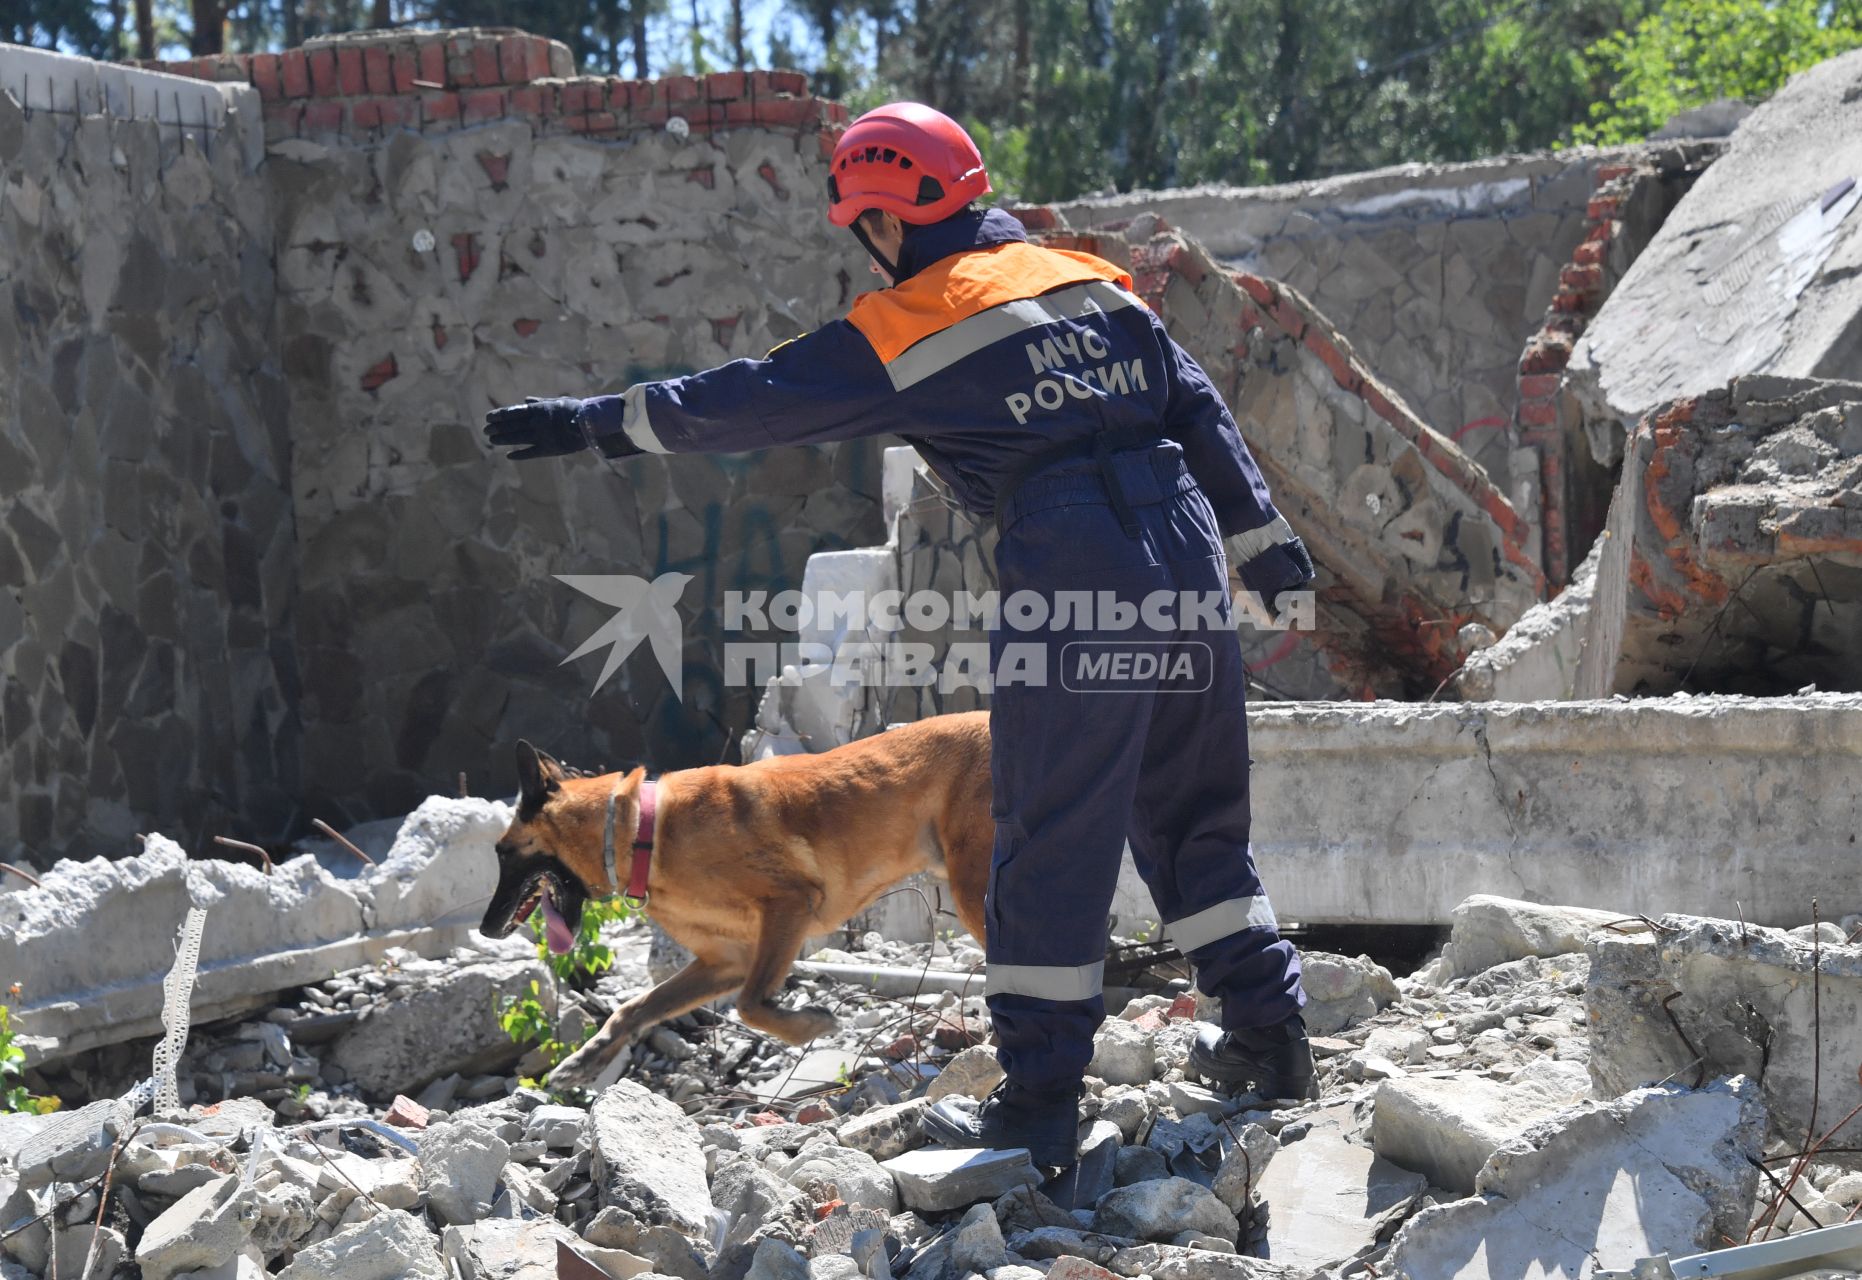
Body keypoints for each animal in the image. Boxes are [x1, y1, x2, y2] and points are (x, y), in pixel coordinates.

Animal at [487, 711, 998, 1088]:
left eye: (503, 853)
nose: (486, 928)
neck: (642, 832)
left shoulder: (787, 906)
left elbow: (751, 1004)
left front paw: (810, 1025)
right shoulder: (725, 961)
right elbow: (636, 1007)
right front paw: (588, 1057)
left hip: (973, 891)